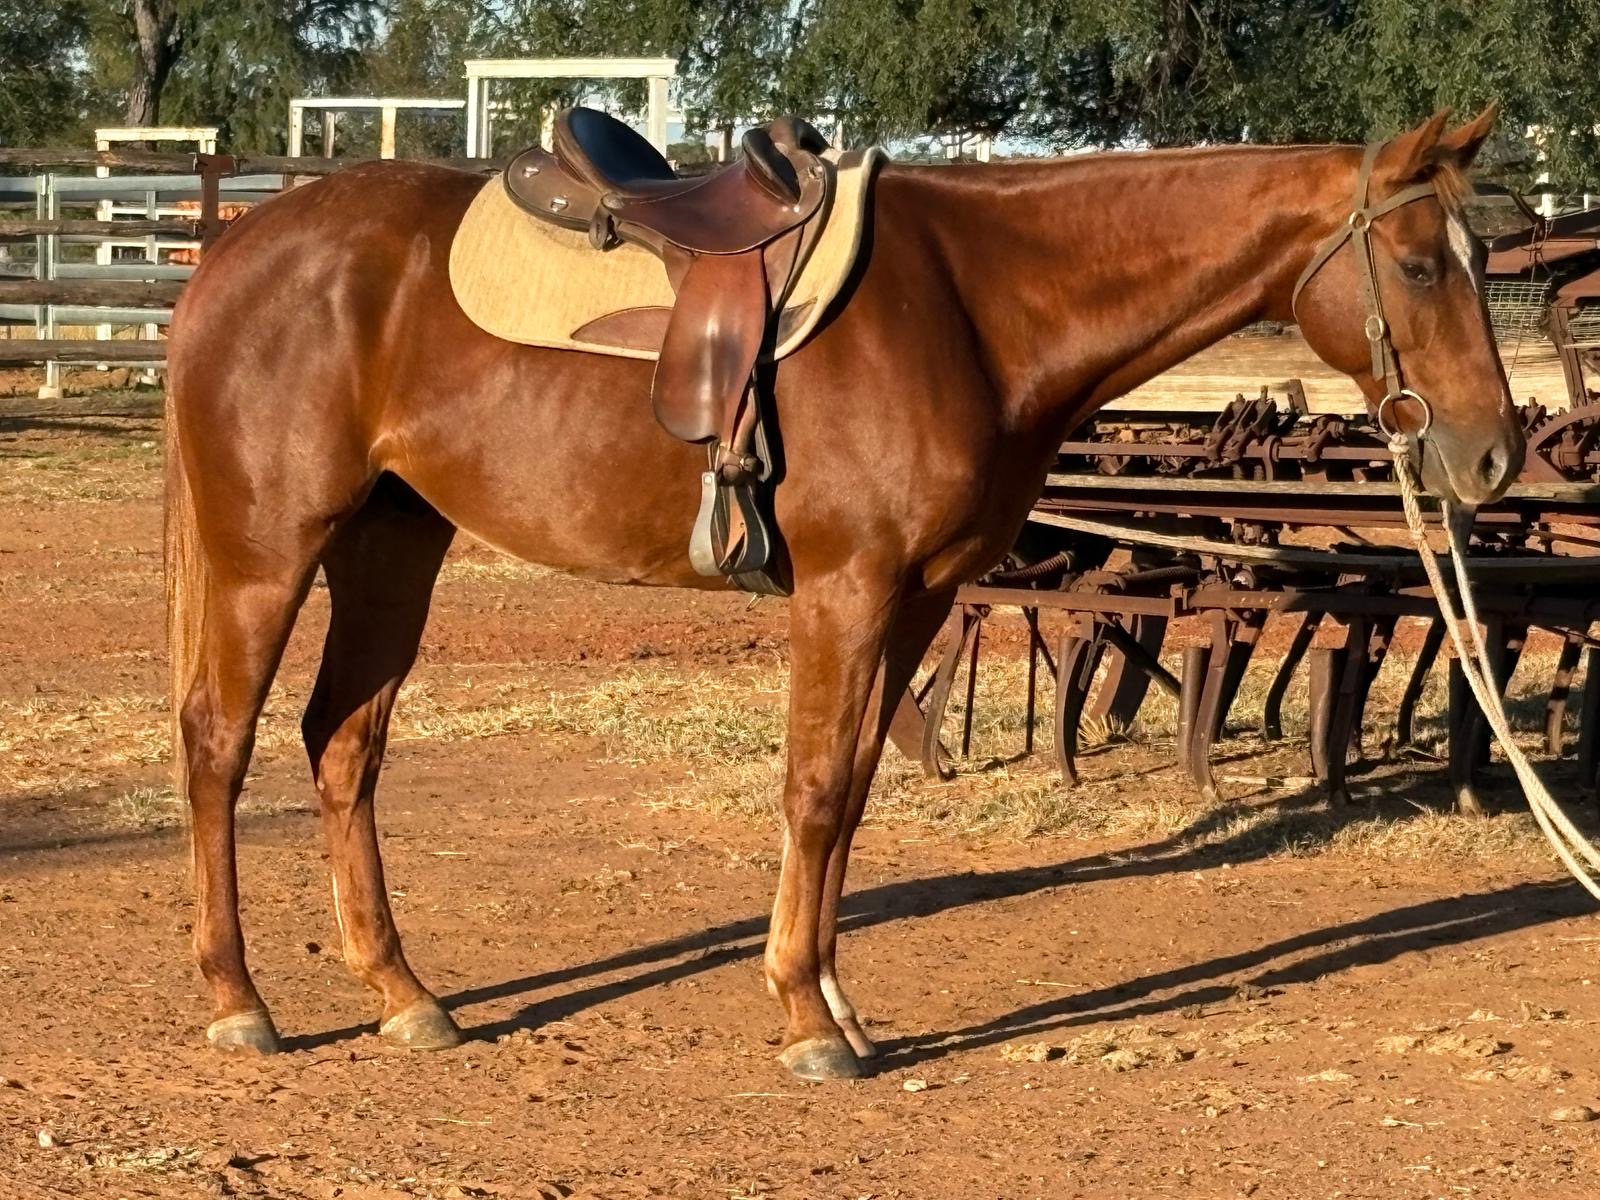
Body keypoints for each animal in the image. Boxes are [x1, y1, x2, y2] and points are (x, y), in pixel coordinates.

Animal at [164, 107, 1521, 1080]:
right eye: (1416, 263)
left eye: (1479, 261)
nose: (1494, 454)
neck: (979, 303)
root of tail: (236, 247)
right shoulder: (849, 588)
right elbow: (813, 791)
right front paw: (806, 1023)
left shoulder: (916, 599)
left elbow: (857, 792)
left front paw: (834, 1004)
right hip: (268, 548)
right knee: (219, 741)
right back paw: (239, 1001)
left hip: (393, 542)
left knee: (343, 744)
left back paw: (404, 997)